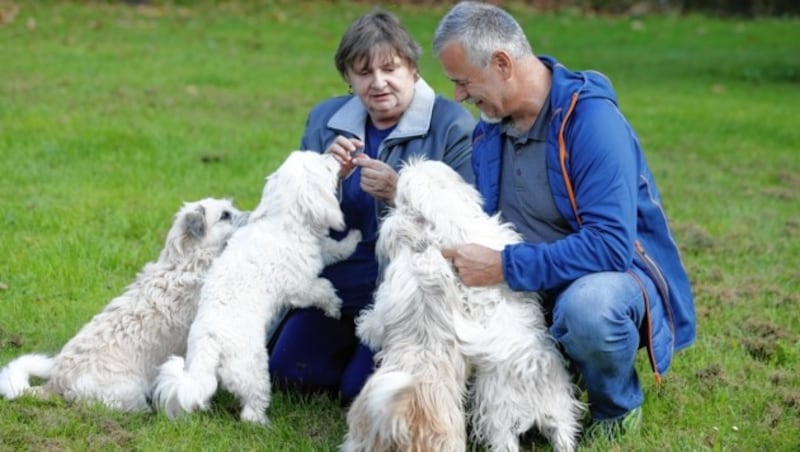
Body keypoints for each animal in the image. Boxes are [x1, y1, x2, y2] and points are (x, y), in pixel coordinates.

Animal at [153, 150, 360, 426]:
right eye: (324, 165)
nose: (335, 155)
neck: (282, 221)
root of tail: (210, 342)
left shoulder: (318, 252)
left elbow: (334, 248)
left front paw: (354, 239)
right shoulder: (300, 287)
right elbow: (324, 288)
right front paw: (335, 309)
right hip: (253, 370)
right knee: (252, 406)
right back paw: (262, 423)